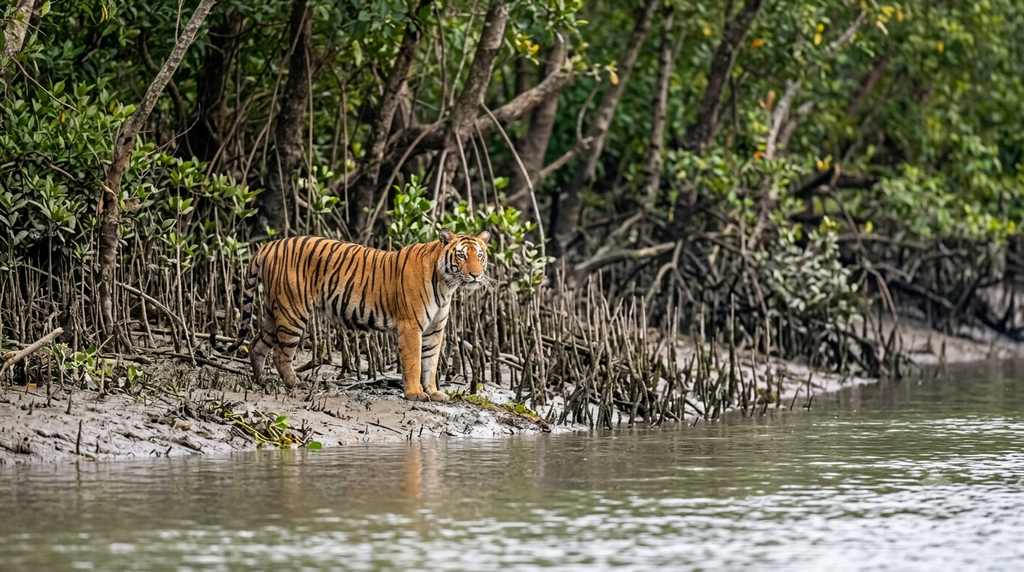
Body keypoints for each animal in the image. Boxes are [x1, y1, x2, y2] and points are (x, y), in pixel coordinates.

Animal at [211, 229, 490, 401]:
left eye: (480, 255)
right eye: (461, 255)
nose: (476, 275)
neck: (447, 284)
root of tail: (269, 244)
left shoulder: (435, 330)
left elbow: (430, 363)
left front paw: (433, 393)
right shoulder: (411, 327)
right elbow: (414, 363)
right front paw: (415, 394)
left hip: (274, 310)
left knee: (256, 344)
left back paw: (261, 382)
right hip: (293, 312)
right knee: (280, 353)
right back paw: (295, 384)